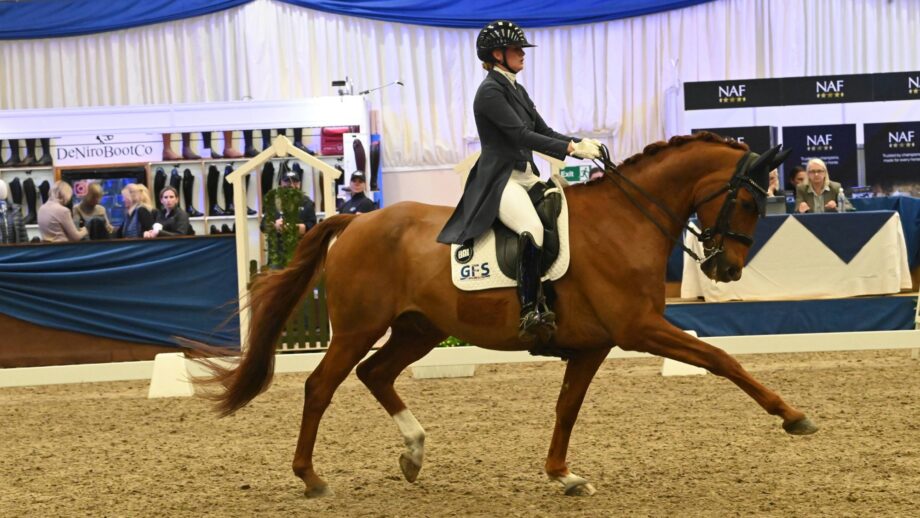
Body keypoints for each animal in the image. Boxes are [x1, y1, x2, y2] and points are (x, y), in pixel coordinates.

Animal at [194, 132, 816, 498]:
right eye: (749, 200)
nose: (726, 270)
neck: (625, 219)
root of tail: (357, 221)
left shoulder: (593, 345)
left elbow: (567, 409)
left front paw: (562, 474)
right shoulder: (640, 329)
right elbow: (721, 359)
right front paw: (792, 416)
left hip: (420, 328)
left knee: (376, 373)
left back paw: (414, 453)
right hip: (357, 328)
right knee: (322, 386)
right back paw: (311, 477)